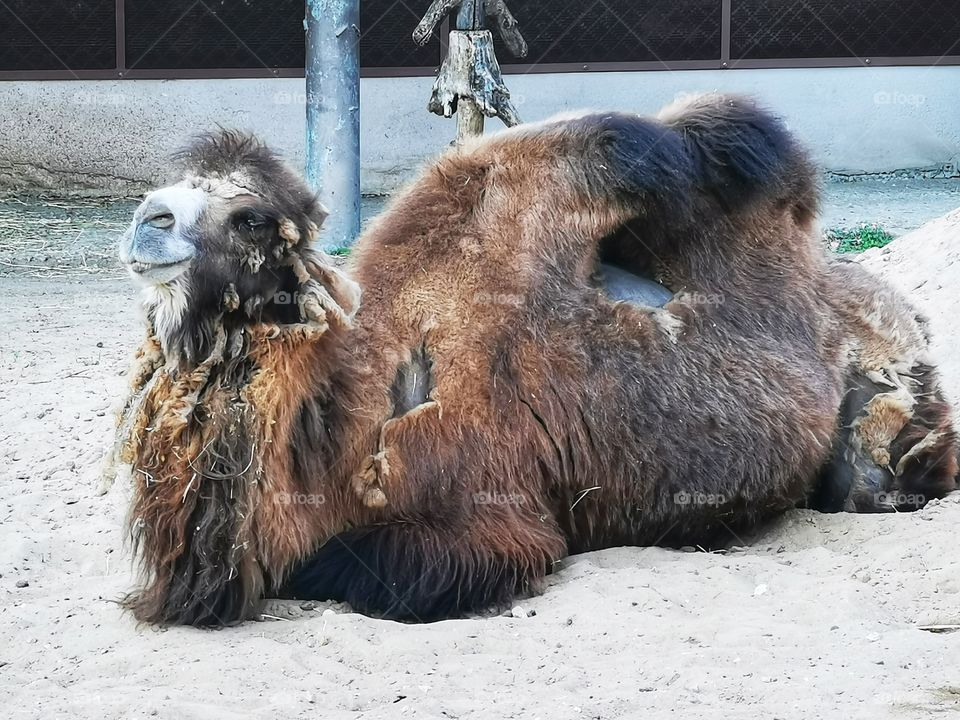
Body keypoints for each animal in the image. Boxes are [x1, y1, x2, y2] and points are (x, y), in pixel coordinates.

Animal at [106, 94, 958, 626]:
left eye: (250, 217)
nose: (149, 220)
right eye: (177, 190)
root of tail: (893, 306)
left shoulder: (487, 517)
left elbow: (363, 572)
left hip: (887, 414)